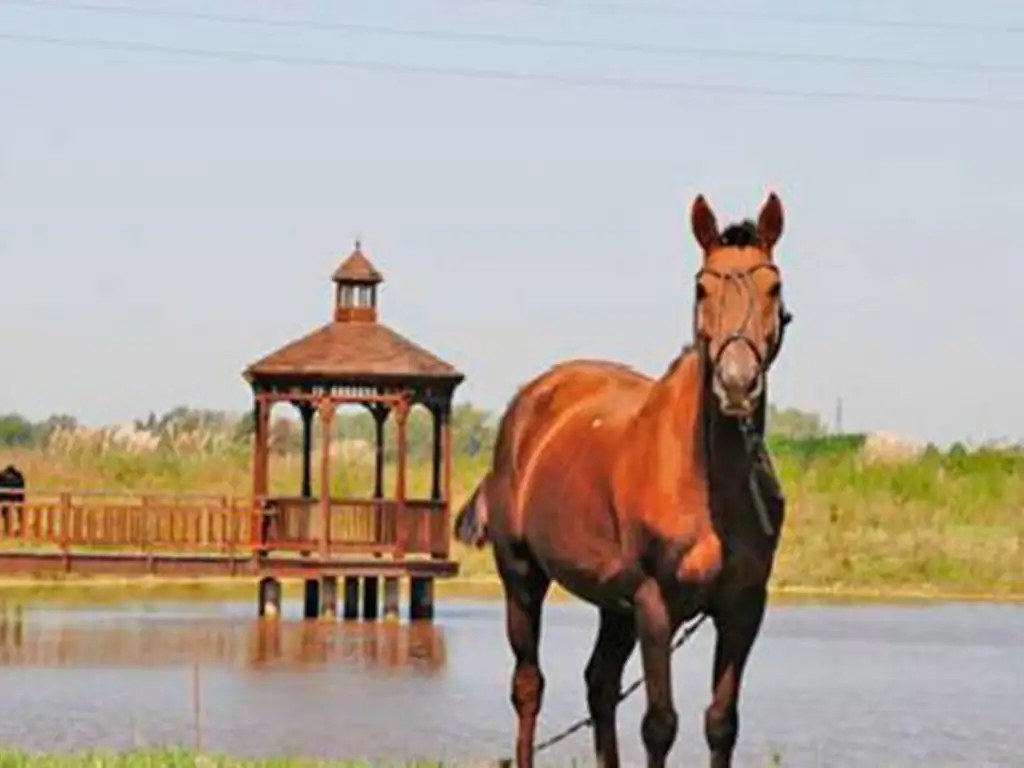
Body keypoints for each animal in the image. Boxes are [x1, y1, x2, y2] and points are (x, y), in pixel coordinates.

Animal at [456, 193, 790, 768]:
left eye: (775, 286)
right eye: (702, 287)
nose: (736, 384)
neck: (707, 487)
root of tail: (527, 401)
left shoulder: (743, 608)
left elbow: (721, 723)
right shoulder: (656, 605)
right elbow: (659, 724)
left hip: (614, 605)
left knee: (600, 685)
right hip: (522, 578)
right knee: (529, 685)